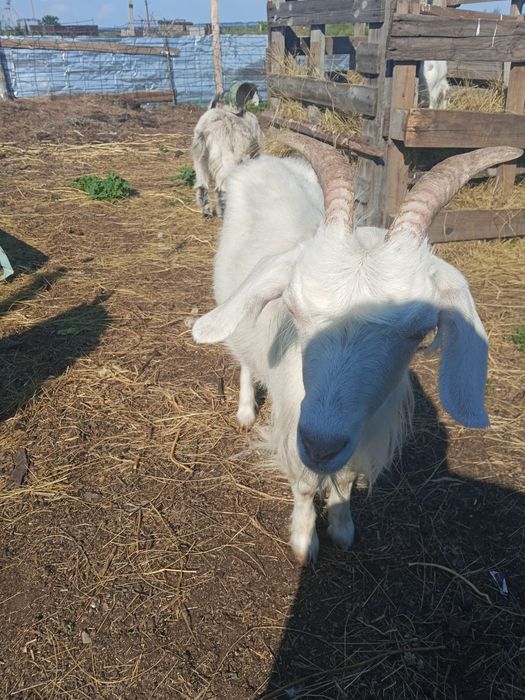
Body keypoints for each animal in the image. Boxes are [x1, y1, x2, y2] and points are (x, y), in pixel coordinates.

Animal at [192, 135, 521, 564]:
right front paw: (304, 542)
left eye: (420, 330)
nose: (321, 443)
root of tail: (268, 162)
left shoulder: (359, 430)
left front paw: (342, 528)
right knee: (246, 358)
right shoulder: (296, 421)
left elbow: (346, 478)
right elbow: (305, 483)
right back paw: (246, 411)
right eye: (293, 308)